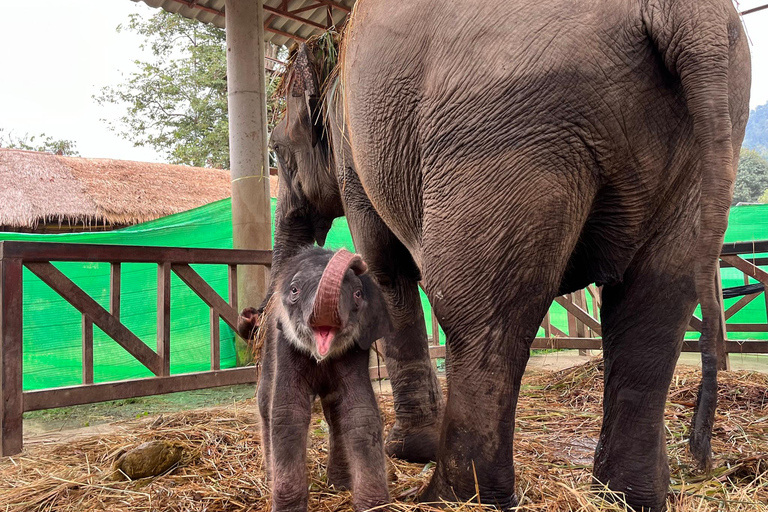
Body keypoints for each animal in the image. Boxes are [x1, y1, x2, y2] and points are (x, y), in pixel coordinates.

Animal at [243, 248, 392, 512]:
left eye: (358, 293)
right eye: (294, 290)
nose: (357, 259)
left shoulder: (356, 350)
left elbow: (359, 412)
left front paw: (374, 506)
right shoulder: (285, 347)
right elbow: (288, 413)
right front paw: (288, 508)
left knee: (335, 414)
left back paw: (339, 485)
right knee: (265, 404)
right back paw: (270, 480)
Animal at [258, 2, 752, 510]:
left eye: (276, 151)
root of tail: (688, 16)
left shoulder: (354, 154)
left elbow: (386, 270)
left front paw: (408, 451)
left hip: (506, 124)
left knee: (476, 308)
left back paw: (450, 497)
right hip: (694, 139)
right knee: (654, 304)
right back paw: (626, 495)